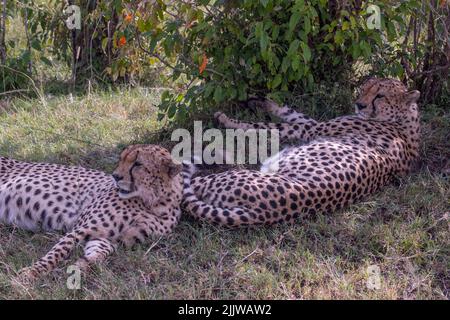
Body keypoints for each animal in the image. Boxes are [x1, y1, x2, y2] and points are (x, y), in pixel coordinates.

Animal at [1, 144, 183, 280]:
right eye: (122, 159)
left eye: (138, 164)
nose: (115, 176)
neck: (153, 202)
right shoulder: (81, 229)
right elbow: (57, 253)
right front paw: (32, 272)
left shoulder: (111, 239)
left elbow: (99, 253)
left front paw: (82, 265)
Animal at [181, 77, 420, 226]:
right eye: (366, 87)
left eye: (380, 95)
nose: (359, 105)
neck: (404, 120)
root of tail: (265, 212)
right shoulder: (313, 125)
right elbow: (291, 112)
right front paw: (261, 101)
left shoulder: (312, 129)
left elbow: (268, 126)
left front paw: (227, 120)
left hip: (226, 179)